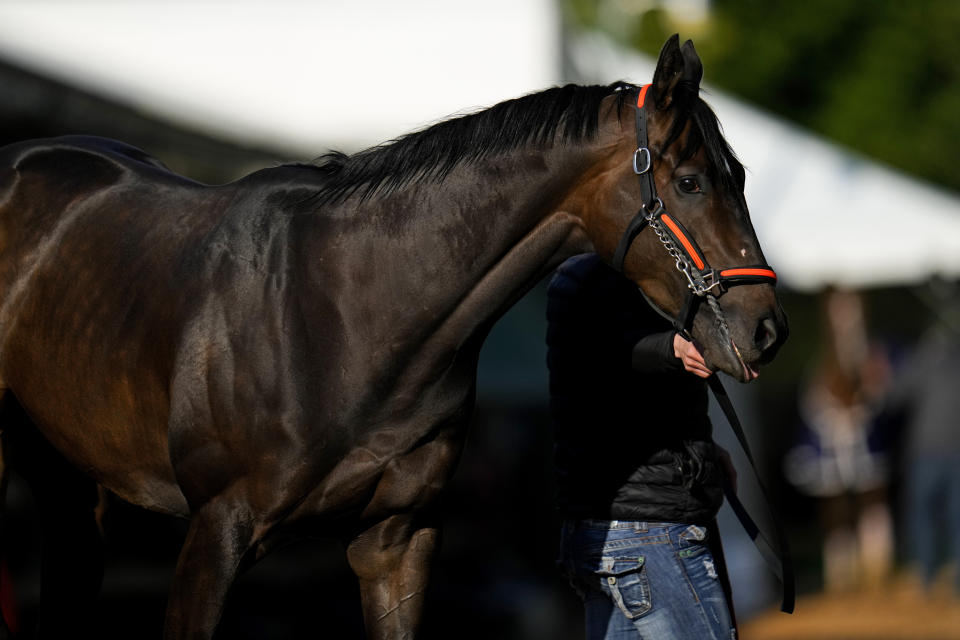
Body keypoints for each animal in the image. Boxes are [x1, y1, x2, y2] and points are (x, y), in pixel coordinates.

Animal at [0, 36, 784, 640]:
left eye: (742, 174)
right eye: (691, 181)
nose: (767, 330)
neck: (345, 318)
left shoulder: (395, 540)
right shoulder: (213, 536)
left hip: (72, 487)